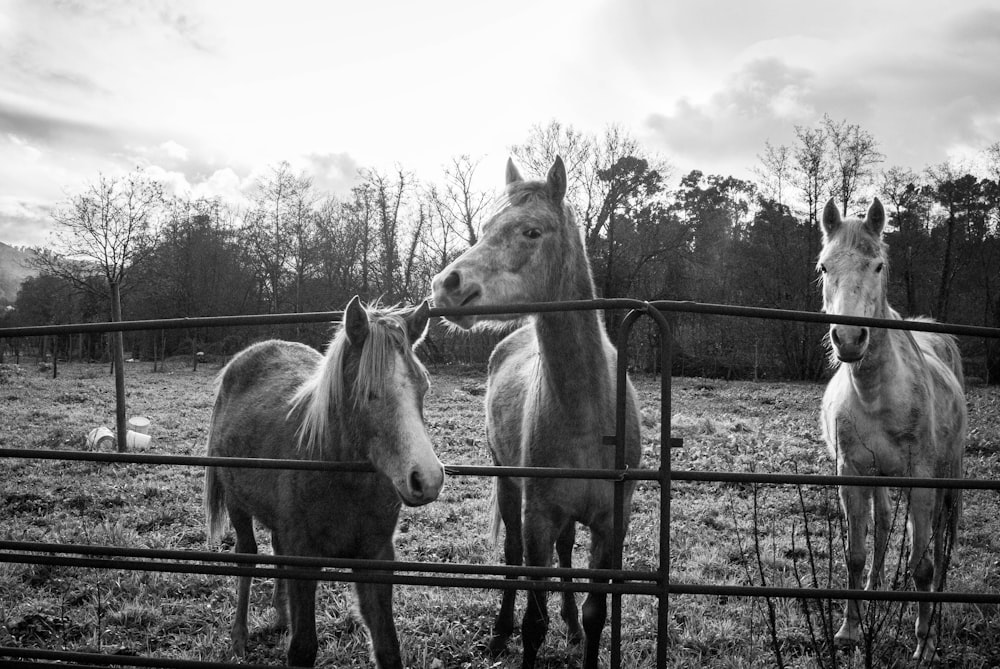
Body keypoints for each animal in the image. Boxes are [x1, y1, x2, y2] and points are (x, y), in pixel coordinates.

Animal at [203, 294, 446, 664]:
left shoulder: (376, 558)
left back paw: (281, 617)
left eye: (424, 387)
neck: (343, 480)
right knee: (247, 556)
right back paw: (239, 637)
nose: (427, 478)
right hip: (237, 506)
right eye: (368, 392)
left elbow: (387, 646)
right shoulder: (304, 558)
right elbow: (303, 646)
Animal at [430, 158, 640, 668]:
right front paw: (519, 629)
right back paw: (499, 631)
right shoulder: (538, 516)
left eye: (531, 231)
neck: (589, 414)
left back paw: (569, 624)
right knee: (512, 555)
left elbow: (596, 614)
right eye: (487, 227)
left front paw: (580, 629)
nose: (447, 286)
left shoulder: (611, 525)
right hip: (509, 486)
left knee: (564, 554)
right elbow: (533, 621)